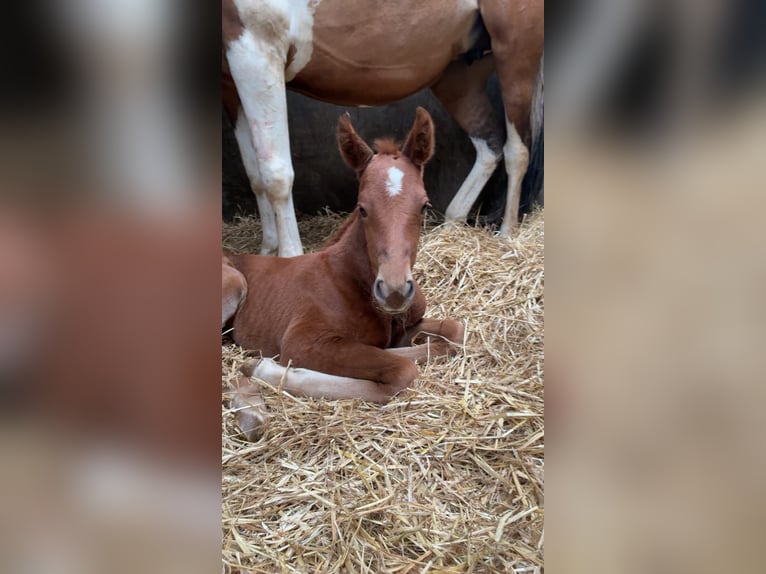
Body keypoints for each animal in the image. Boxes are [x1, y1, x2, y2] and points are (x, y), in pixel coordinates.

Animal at [222, 0, 544, 256]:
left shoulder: (255, 50)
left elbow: (276, 175)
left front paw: (289, 257)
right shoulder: (232, 82)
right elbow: (255, 174)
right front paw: (268, 250)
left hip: (514, 51)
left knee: (516, 150)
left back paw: (507, 237)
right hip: (459, 75)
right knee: (490, 144)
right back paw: (451, 225)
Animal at [223, 108, 464, 439]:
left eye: (424, 206)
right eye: (362, 208)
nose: (394, 292)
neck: (350, 279)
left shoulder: (403, 327)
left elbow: (453, 333)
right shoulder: (303, 340)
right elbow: (401, 369)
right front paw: (269, 368)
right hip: (233, 285)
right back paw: (252, 411)